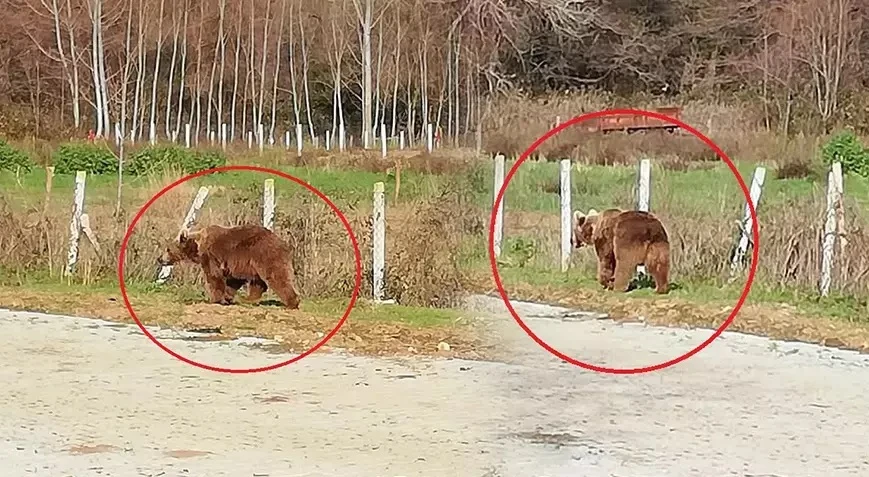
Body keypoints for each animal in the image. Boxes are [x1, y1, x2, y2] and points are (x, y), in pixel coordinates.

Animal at [157, 223, 302, 308]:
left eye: (168, 249)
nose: (159, 259)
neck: (198, 247)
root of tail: (283, 243)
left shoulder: (212, 256)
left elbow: (214, 276)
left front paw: (215, 299)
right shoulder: (237, 264)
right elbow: (233, 280)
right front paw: (227, 297)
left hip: (264, 255)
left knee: (277, 277)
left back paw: (292, 302)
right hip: (255, 262)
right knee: (258, 282)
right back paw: (247, 299)